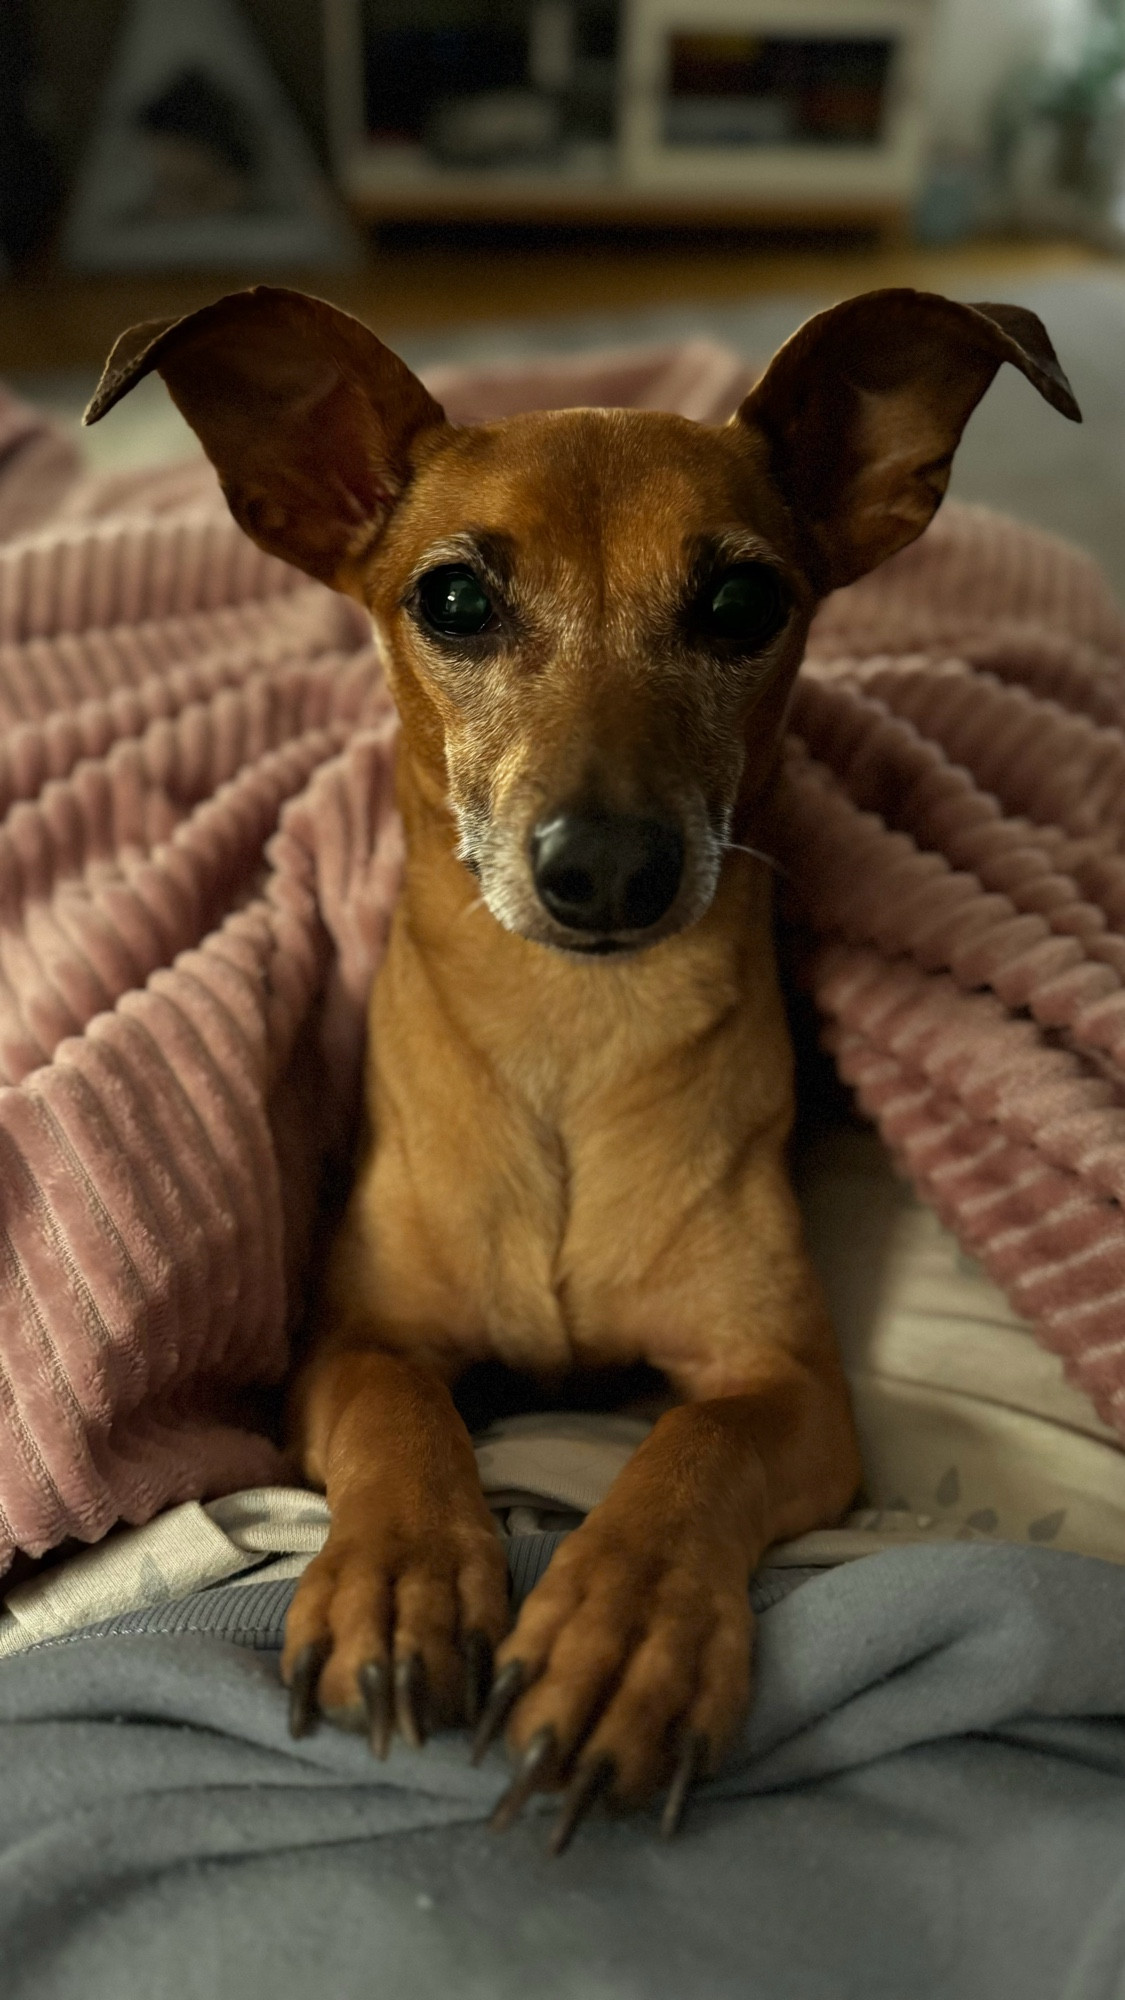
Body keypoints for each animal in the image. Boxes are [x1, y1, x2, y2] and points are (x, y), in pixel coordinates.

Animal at [87, 282, 1080, 1840]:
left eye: (741, 604)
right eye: (452, 599)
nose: (608, 868)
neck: (572, 1039)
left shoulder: (787, 1388)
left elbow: (688, 1456)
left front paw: (626, 1636)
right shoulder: (345, 1343)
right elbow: (400, 1413)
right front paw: (399, 1581)